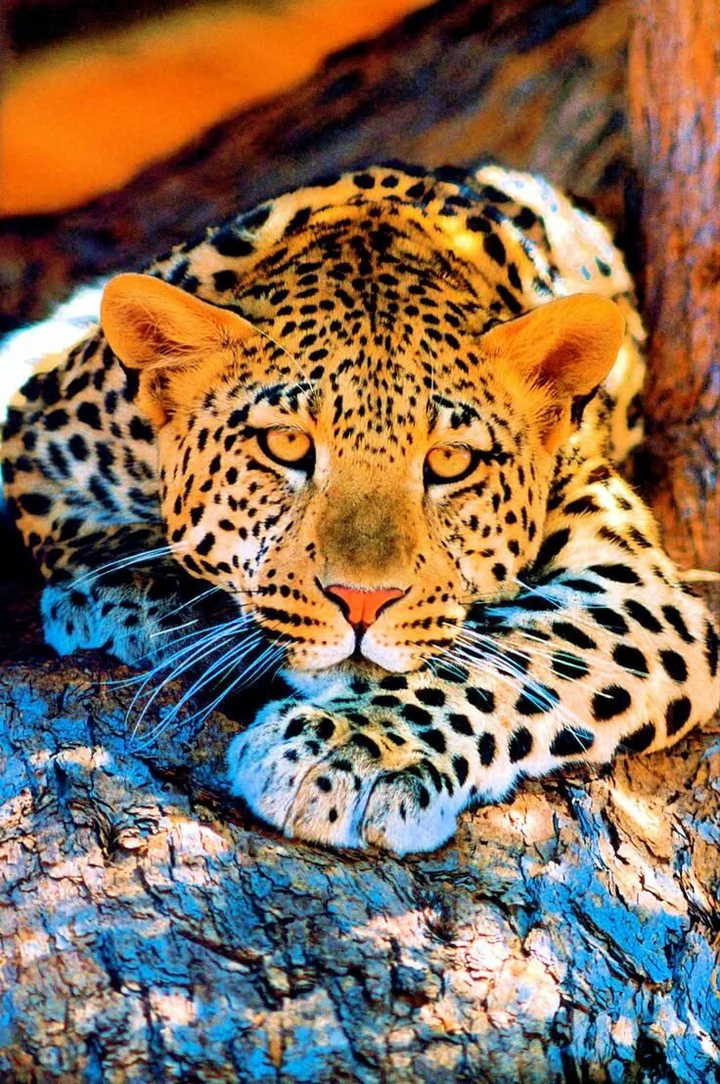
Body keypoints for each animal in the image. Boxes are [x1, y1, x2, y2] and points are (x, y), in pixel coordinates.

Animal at [2, 162, 718, 855]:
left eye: (450, 460)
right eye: (286, 444)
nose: (362, 603)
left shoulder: (641, 588)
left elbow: (508, 656)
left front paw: (351, 754)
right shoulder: (43, 439)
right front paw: (143, 603)